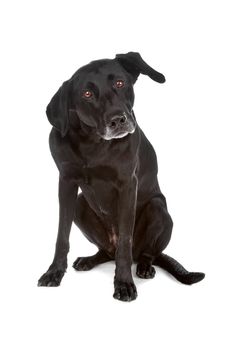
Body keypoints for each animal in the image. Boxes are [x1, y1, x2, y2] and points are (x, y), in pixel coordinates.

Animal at [37, 52, 204, 300]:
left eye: (119, 82)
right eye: (87, 94)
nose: (117, 120)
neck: (93, 142)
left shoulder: (127, 186)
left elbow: (125, 240)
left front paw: (124, 283)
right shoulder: (66, 183)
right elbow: (62, 235)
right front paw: (54, 272)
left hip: (158, 209)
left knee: (144, 252)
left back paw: (144, 267)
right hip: (80, 204)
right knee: (107, 252)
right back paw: (89, 260)